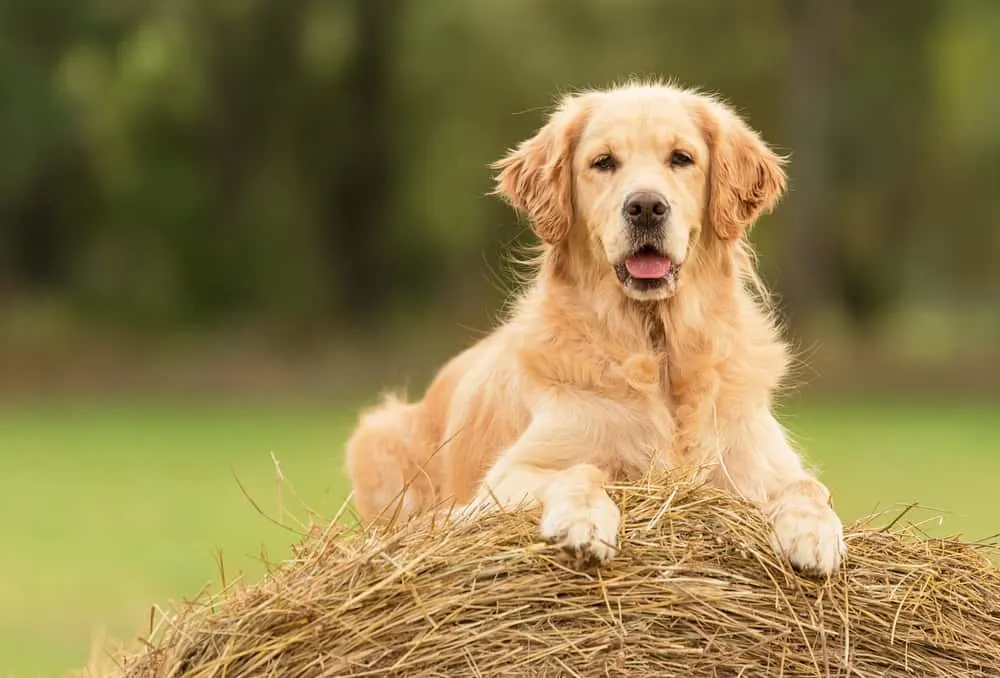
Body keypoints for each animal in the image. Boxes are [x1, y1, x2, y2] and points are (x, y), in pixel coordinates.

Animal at [344, 79, 844, 580]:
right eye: (603, 162)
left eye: (681, 158)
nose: (646, 206)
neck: (657, 348)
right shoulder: (506, 477)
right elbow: (581, 471)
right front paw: (582, 522)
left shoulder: (758, 464)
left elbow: (809, 488)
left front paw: (815, 535)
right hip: (377, 434)